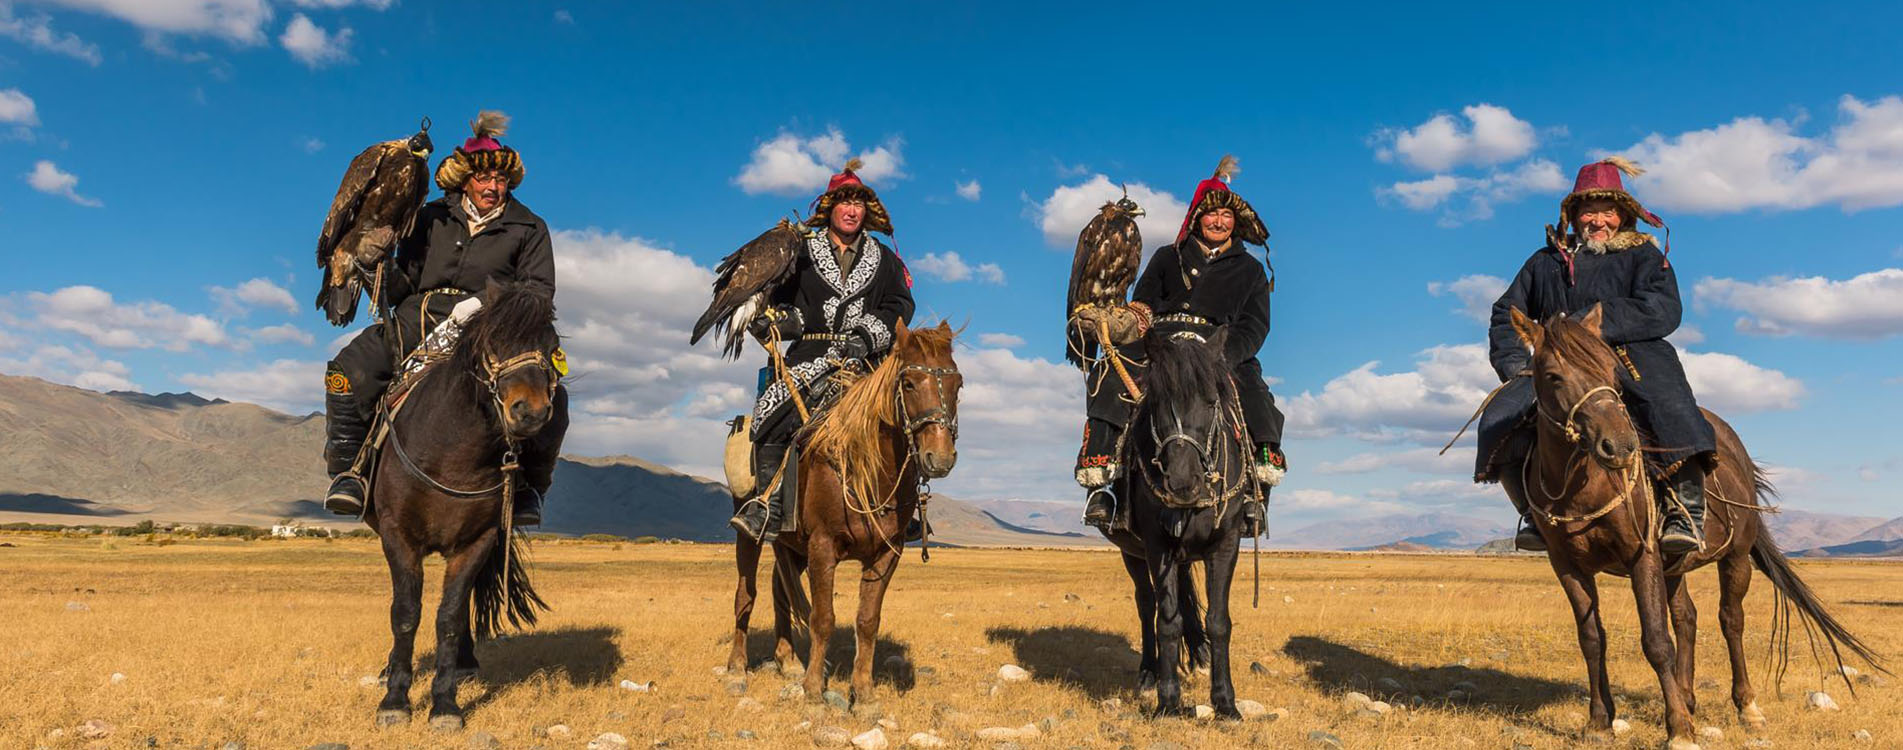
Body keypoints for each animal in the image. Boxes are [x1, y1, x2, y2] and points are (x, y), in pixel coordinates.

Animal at [363, 279, 567, 727]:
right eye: (492, 342)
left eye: (551, 346)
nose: (531, 411)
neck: (451, 454)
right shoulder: (397, 535)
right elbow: (405, 613)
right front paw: (395, 699)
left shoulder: (478, 540)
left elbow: (451, 615)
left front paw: (444, 703)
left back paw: (465, 663)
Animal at [719, 319, 959, 704]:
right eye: (908, 383)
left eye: (958, 384)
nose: (939, 458)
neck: (867, 468)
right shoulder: (822, 546)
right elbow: (823, 618)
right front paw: (814, 690)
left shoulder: (886, 554)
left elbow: (867, 620)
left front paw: (863, 693)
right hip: (750, 529)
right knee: (746, 593)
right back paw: (737, 667)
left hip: (791, 543)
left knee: (779, 590)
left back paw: (788, 660)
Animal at [1096, 331, 1255, 719]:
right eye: (1156, 403)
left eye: (1212, 402)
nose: (1183, 483)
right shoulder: (1157, 546)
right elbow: (1167, 621)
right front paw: (1168, 700)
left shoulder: (1226, 543)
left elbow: (1218, 621)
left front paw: (1226, 703)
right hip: (1132, 553)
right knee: (1147, 604)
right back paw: (1148, 674)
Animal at [1507, 302, 1880, 742]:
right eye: (1553, 376)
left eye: (1612, 371)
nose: (1620, 447)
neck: (1585, 485)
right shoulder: (1567, 566)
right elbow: (1592, 638)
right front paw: (1599, 722)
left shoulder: (1643, 556)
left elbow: (1656, 641)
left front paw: (1680, 730)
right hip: (1674, 563)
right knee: (1687, 617)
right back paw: (1687, 698)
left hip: (1735, 556)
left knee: (1730, 620)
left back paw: (1747, 707)